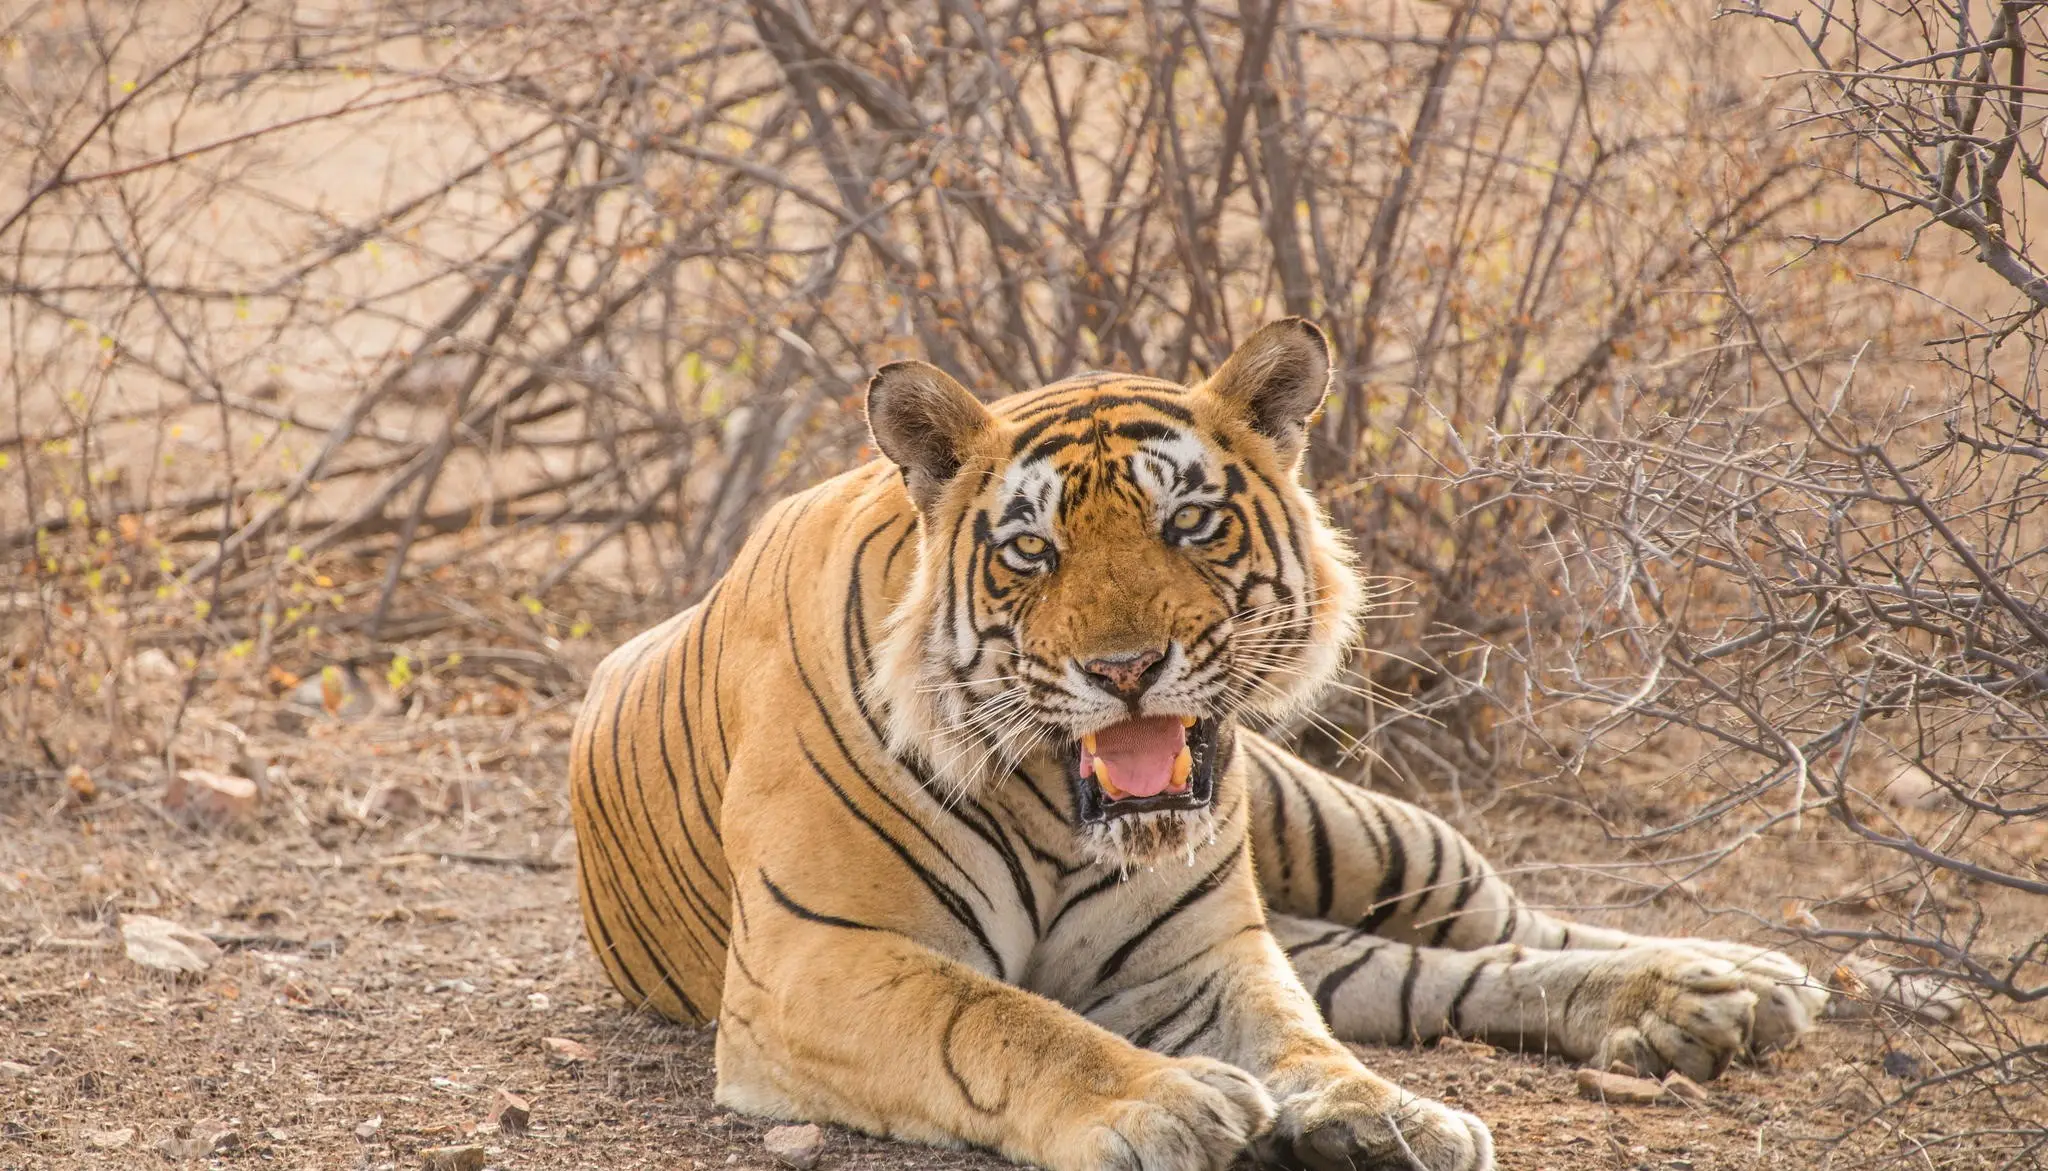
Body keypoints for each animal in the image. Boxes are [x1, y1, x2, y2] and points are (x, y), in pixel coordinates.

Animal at [569, 315, 1835, 1162]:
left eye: (1187, 522)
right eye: (1029, 551)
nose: (1125, 669)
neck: (1056, 807)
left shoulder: (1200, 951)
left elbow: (1299, 1040)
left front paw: (1381, 1115)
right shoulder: (814, 958)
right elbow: (1001, 1021)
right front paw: (1169, 1103)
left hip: (1350, 827)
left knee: (1506, 922)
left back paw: (1735, 980)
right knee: (1432, 971)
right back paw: (1706, 1001)